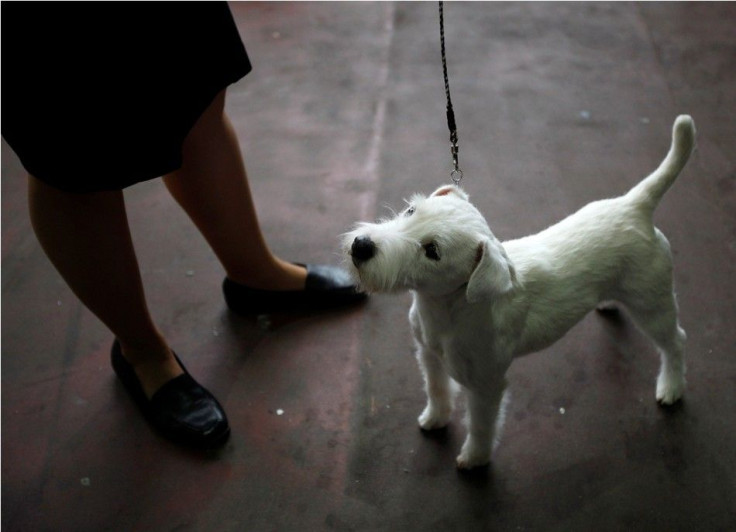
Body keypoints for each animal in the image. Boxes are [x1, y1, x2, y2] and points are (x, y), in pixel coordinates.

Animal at [344, 116, 696, 470]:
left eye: (433, 251)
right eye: (411, 211)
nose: (361, 246)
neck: (447, 308)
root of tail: (636, 205)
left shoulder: (486, 386)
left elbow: (481, 424)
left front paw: (474, 458)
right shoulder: (429, 355)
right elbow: (436, 389)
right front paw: (435, 418)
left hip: (652, 305)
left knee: (676, 341)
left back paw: (671, 387)